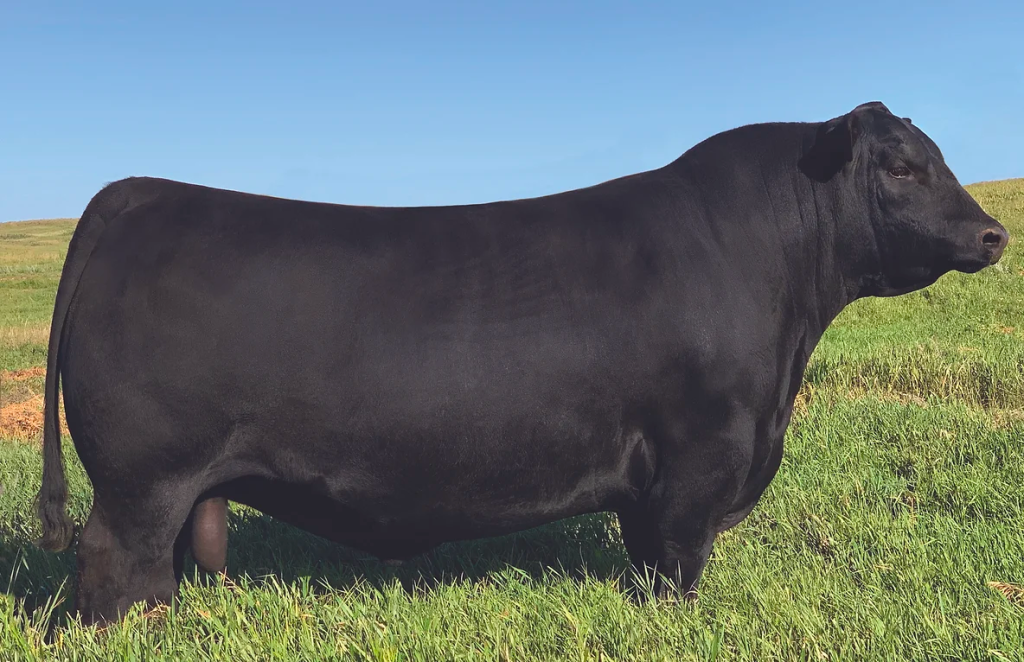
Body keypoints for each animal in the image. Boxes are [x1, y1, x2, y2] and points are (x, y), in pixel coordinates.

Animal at [34, 101, 1009, 625]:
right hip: (141, 478)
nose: (993, 233)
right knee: (113, 567)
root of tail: (139, 192)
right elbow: (675, 563)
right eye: (900, 166)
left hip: (175, 484)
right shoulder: (702, 455)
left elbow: (646, 552)